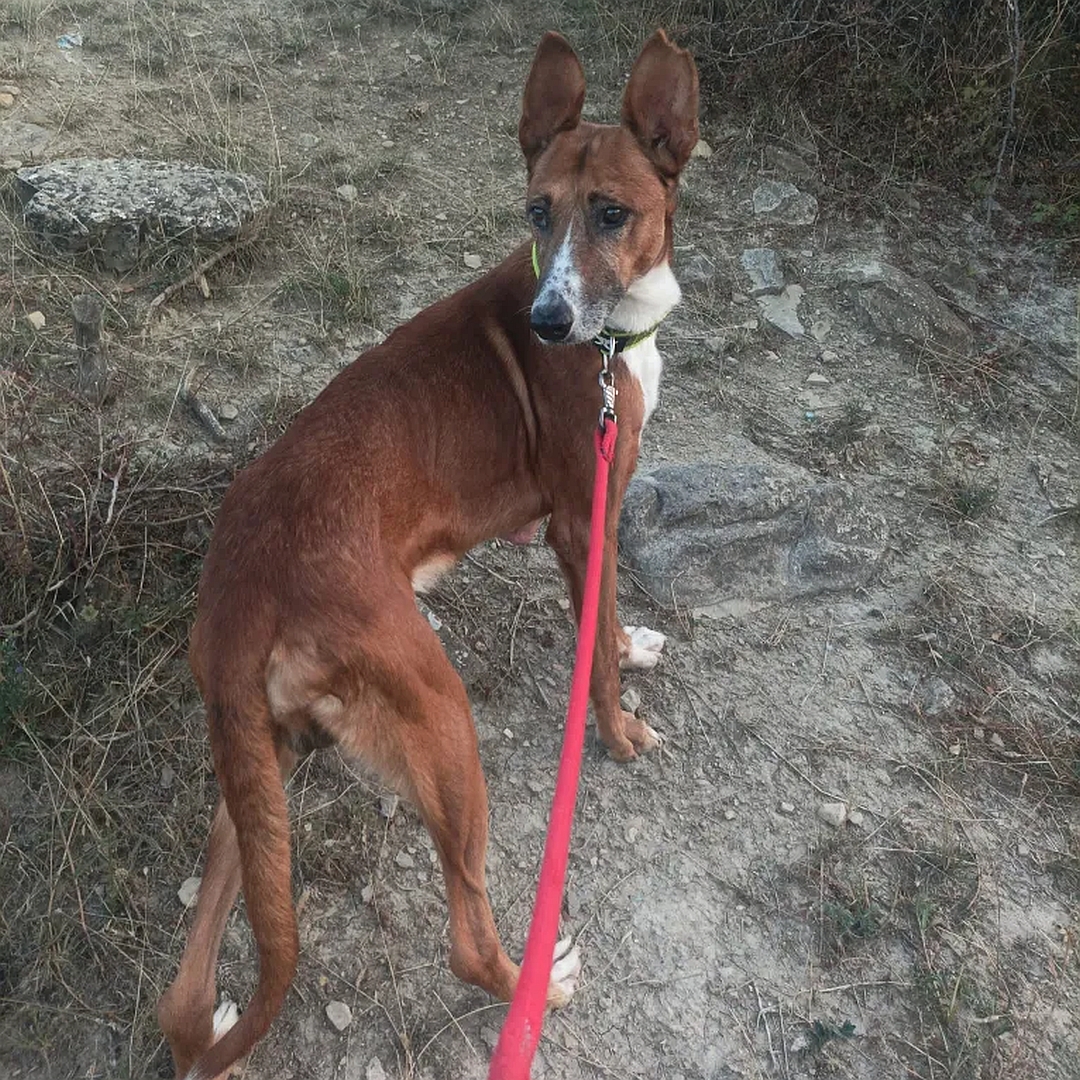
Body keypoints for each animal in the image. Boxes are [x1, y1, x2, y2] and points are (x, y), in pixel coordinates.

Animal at [159, 29, 699, 1075]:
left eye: (611, 213)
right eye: (537, 210)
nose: (547, 323)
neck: (610, 339)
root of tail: (238, 595)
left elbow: (606, 624)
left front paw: (627, 646)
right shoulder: (585, 519)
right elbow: (599, 652)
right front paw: (619, 731)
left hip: (255, 778)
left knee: (186, 989)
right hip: (442, 716)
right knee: (464, 935)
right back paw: (537, 987)